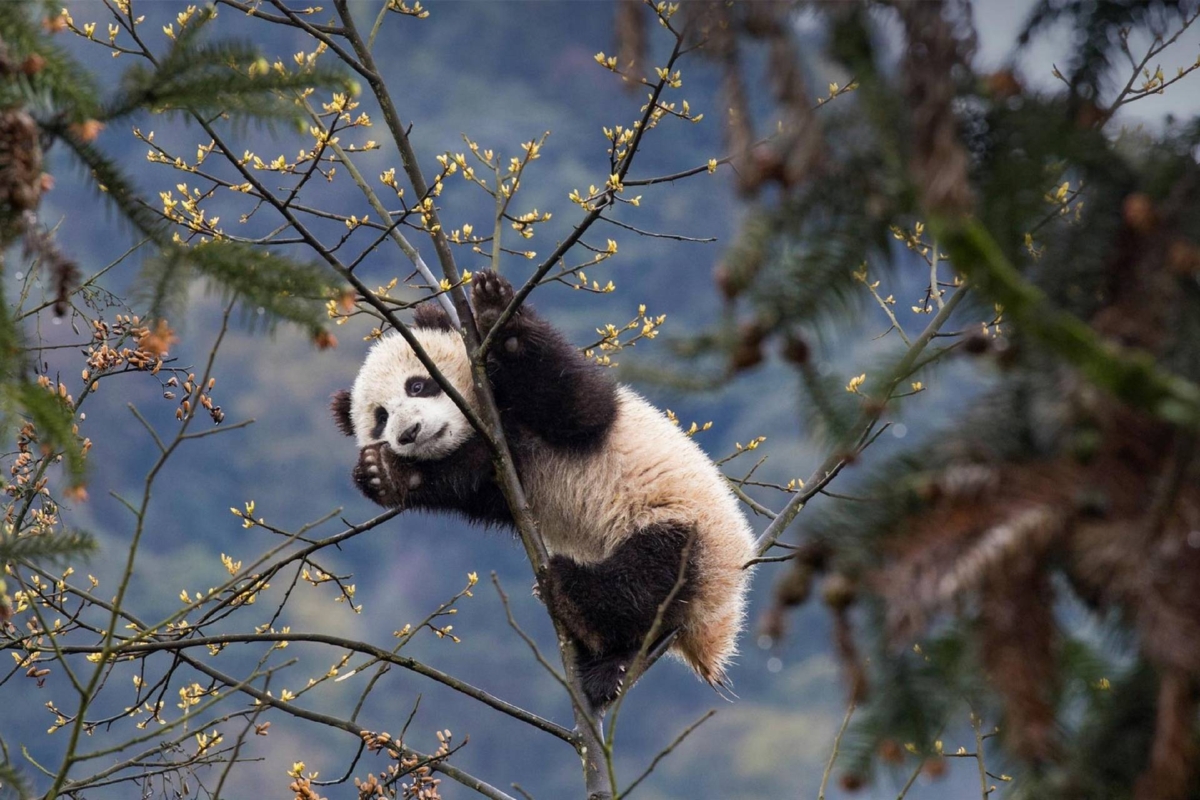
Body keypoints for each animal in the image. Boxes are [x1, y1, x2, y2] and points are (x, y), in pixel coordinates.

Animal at [333, 271, 753, 705]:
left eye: (417, 386)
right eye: (381, 419)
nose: (410, 433)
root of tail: (713, 628)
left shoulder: (572, 413)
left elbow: (575, 404)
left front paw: (495, 311)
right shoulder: (500, 469)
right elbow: (467, 482)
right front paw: (384, 472)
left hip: (686, 527)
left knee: (648, 576)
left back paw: (570, 594)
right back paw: (605, 664)